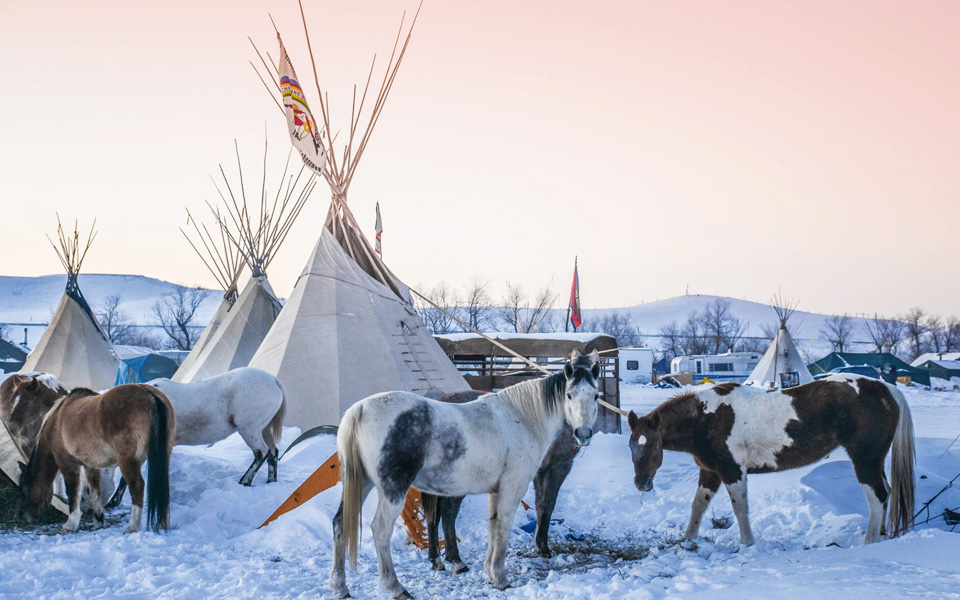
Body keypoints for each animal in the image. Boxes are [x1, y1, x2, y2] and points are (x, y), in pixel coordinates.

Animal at [20, 382, 176, 532]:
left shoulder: (67, 463)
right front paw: (98, 521)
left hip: (127, 461)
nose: (25, 516)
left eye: (26, 489)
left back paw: (132, 527)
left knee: (137, 486)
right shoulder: (91, 466)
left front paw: (71, 523)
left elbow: (72, 491)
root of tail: (150, 395)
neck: (56, 422)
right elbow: (94, 491)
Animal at [422, 390, 584, 572]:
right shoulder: (558, 467)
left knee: (433, 516)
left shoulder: (540, 471)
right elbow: (547, 504)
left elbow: (540, 504)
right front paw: (543, 546)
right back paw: (456, 560)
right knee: (448, 513)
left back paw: (436, 559)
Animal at [632, 378, 916, 548]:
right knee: (886, 493)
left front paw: (747, 544)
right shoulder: (710, 472)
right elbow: (698, 507)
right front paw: (687, 540)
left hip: (865, 460)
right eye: (632, 445)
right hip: (874, 461)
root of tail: (887, 390)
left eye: (654, 445)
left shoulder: (732, 471)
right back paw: (881, 536)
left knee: (877, 497)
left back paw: (869, 542)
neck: (705, 416)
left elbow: (740, 508)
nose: (642, 484)